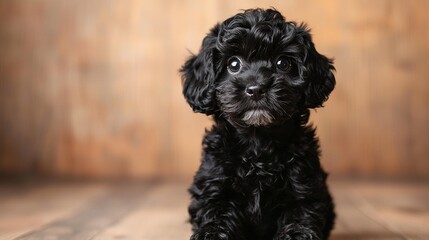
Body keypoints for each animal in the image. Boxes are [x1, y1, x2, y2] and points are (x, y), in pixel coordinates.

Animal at [181, 7, 334, 240]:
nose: (256, 89)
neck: (258, 141)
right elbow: (215, 214)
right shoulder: (216, 186)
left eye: (283, 63)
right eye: (233, 64)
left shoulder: (303, 188)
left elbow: (300, 217)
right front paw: (211, 234)